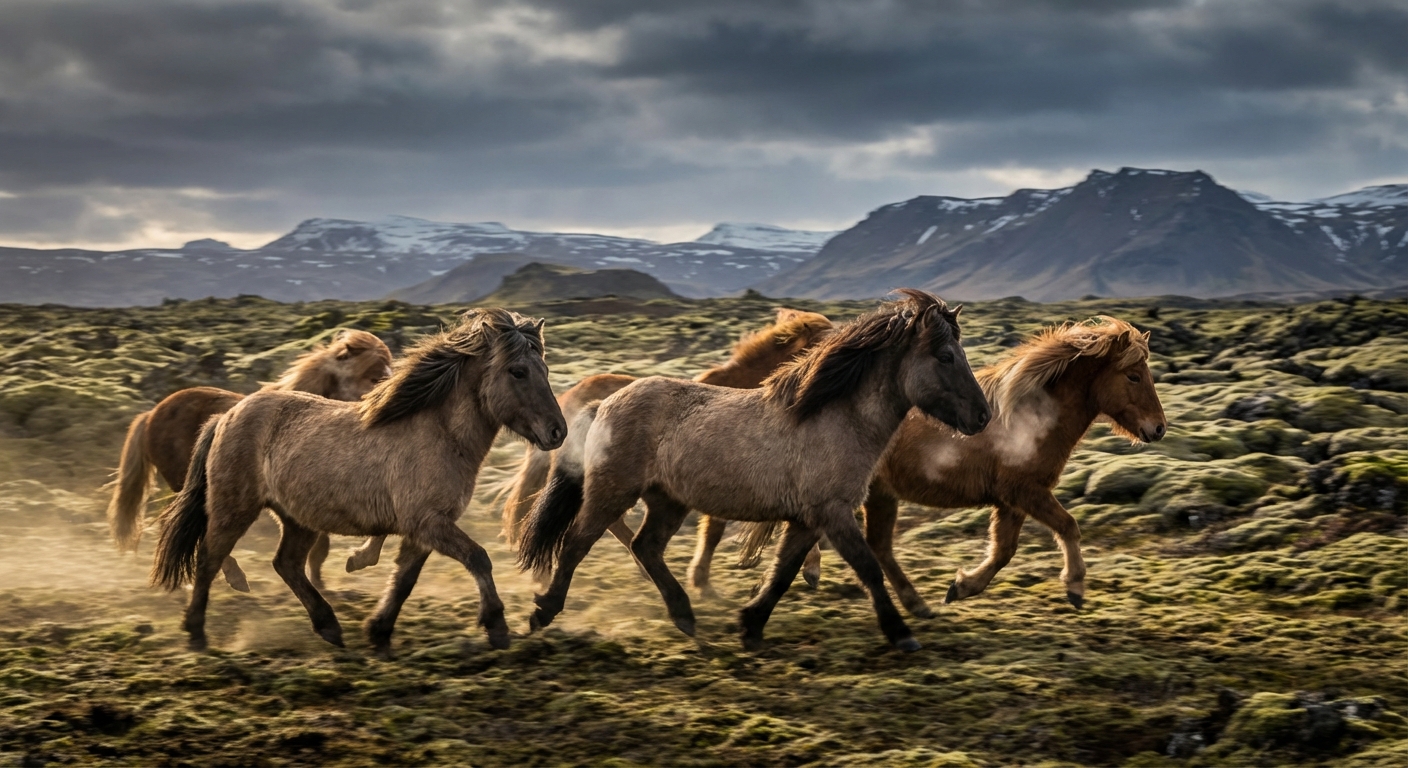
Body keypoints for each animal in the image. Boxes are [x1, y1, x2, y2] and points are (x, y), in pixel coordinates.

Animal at [150, 309, 566, 655]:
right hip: (234, 507)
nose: (557, 431)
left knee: (286, 564)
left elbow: (404, 580)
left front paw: (379, 632)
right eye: (518, 372)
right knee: (208, 558)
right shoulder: (428, 523)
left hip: (297, 519)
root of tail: (226, 416)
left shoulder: (425, 530)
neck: (440, 434)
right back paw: (197, 634)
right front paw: (497, 628)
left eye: (544, 370)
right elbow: (478, 558)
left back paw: (329, 628)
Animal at [728, 316, 1166, 616]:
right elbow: (1068, 527)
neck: (1031, 415)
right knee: (862, 542)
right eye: (1133, 375)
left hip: (879, 494)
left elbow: (1004, 550)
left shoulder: (1011, 501)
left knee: (875, 545)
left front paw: (963, 586)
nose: (1158, 428)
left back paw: (908, 601)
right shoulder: (1026, 491)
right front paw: (1074, 588)